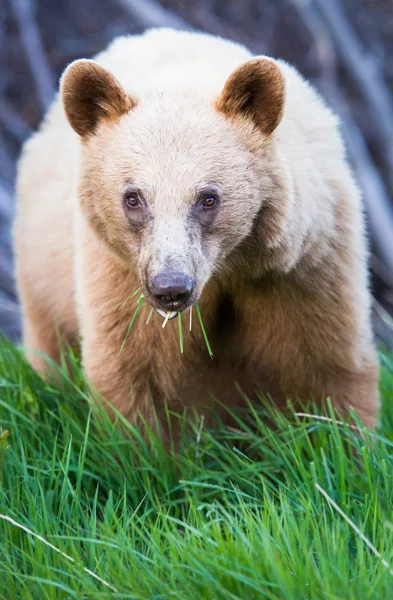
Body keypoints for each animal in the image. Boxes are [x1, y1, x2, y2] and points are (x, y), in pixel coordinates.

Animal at [13, 28, 378, 434]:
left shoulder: (301, 270)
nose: (171, 287)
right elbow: (135, 372)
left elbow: (326, 365)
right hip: (43, 271)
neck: (228, 271)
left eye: (208, 198)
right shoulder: (120, 279)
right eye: (133, 197)